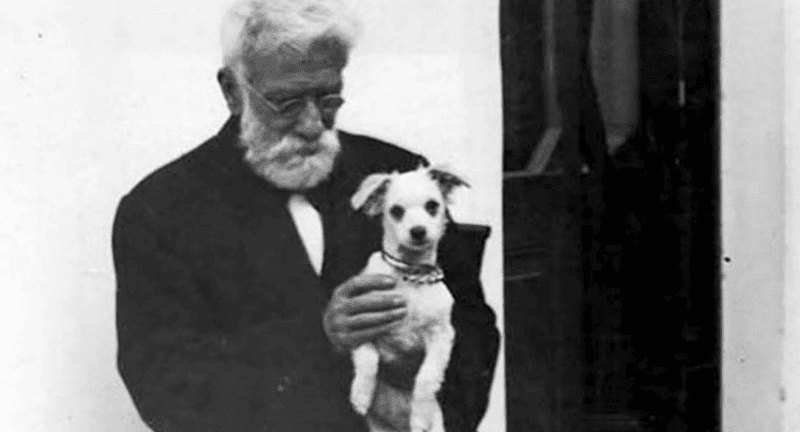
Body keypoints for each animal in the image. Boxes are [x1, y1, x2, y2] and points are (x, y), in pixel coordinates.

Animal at [349, 165, 469, 432]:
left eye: (433, 206)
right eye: (396, 211)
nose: (418, 231)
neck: (411, 276)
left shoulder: (441, 337)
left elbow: (426, 378)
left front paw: (420, 416)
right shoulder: (363, 323)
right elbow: (368, 359)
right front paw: (360, 394)